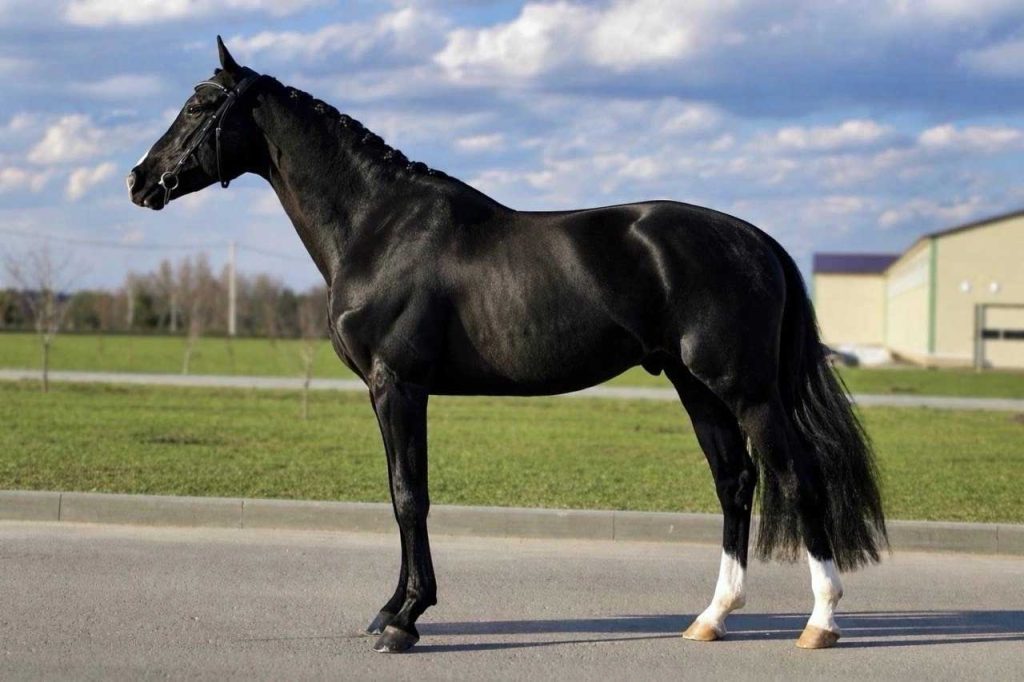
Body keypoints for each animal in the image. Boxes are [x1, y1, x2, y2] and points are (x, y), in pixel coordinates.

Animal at [127, 38, 886, 654]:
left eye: (200, 105)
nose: (138, 181)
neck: (380, 226)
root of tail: (756, 239)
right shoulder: (389, 391)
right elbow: (400, 493)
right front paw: (391, 610)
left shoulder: (398, 385)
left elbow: (409, 496)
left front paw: (406, 621)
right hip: (693, 385)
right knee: (734, 481)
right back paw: (712, 617)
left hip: (745, 389)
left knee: (797, 476)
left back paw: (821, 622)